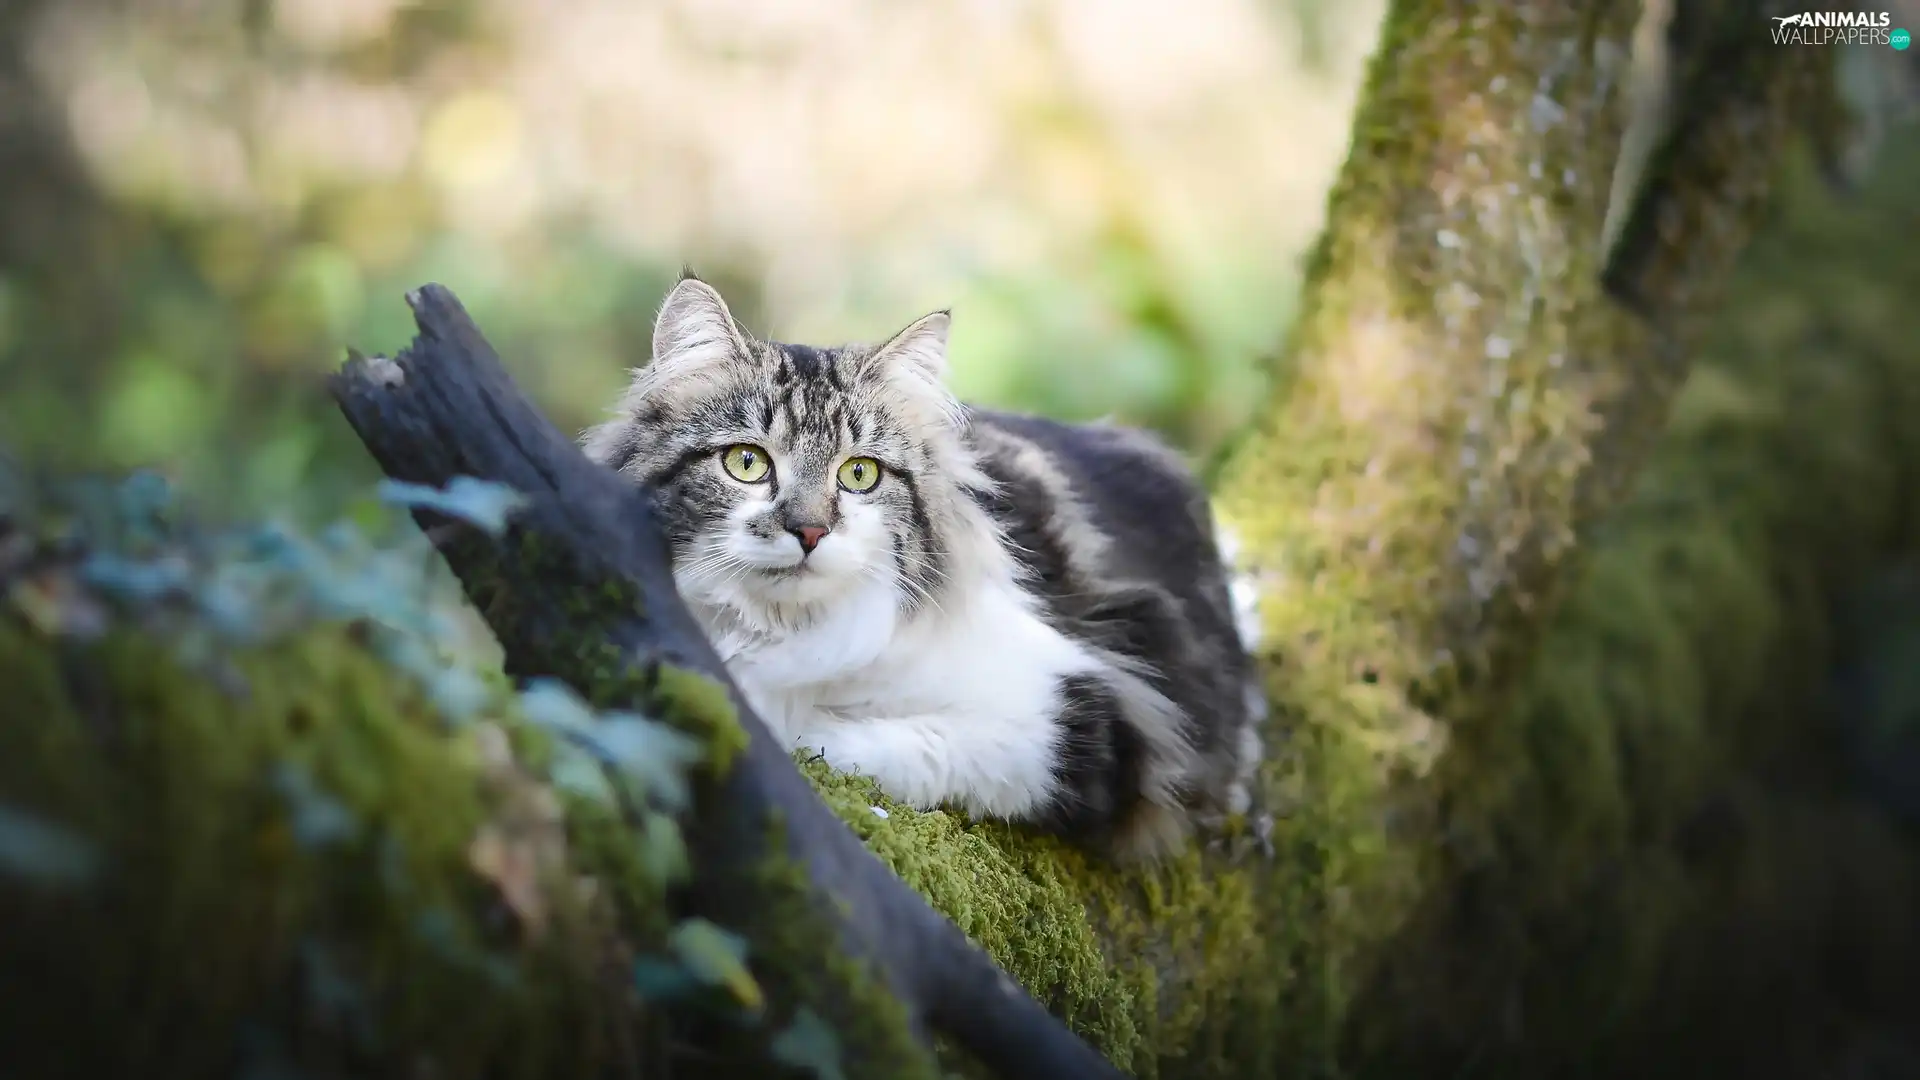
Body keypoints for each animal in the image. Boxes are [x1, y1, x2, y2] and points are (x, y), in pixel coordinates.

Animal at [583, 270, 1274, 857]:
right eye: (747, 463)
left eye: (859, 475)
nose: (810, 531)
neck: (784, 634)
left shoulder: (1076, 713)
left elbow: (850, 738)